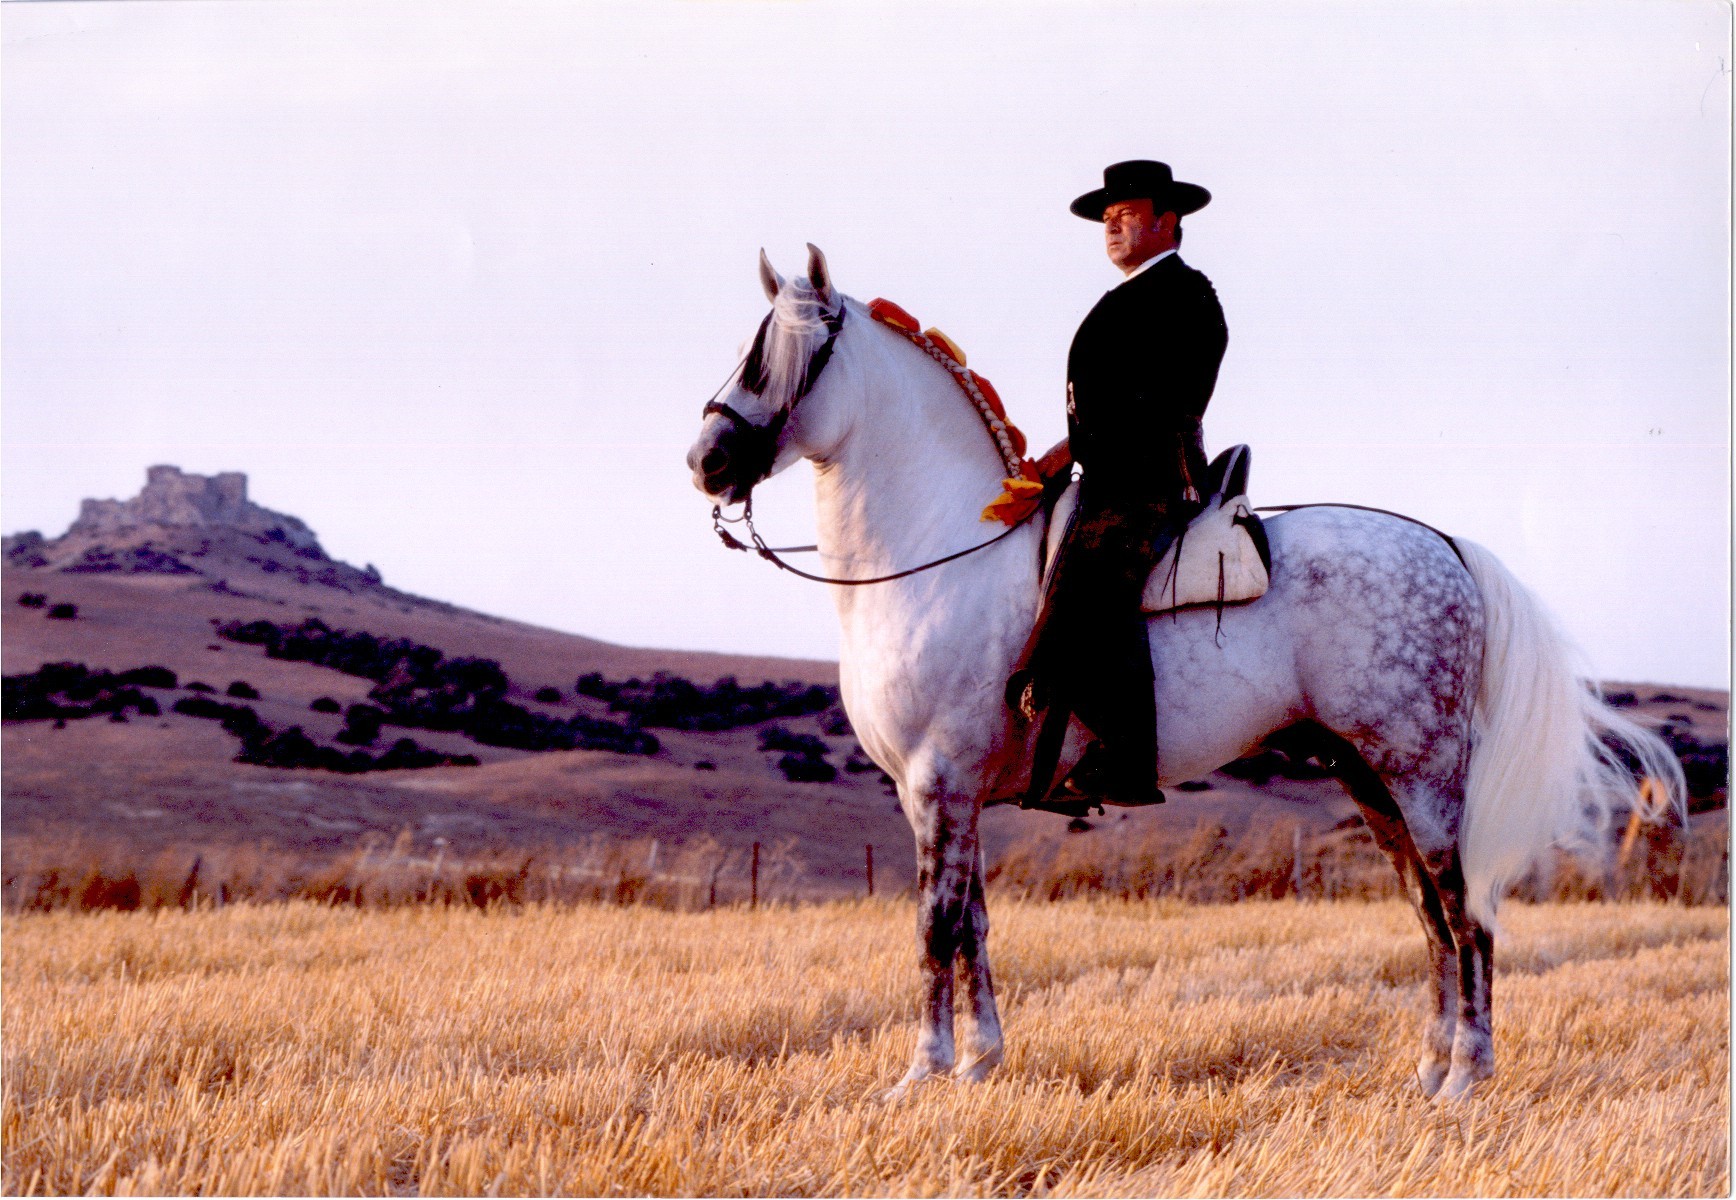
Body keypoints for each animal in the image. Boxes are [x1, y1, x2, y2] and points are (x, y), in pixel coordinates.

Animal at [685, 244, 1684, 1102]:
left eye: (779, 358)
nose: (707, 461)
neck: (940, 552)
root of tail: (1447, 546)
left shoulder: (940, 780)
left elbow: (934, 925)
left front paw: (921, 1074)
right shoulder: (944, 793)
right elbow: (971, 923)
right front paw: (979, 1065)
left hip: (1422, 773)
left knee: (1461, 907)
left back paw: (1469, 1076)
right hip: (1369, 780)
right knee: (1428, 915)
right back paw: (1431, 1072)